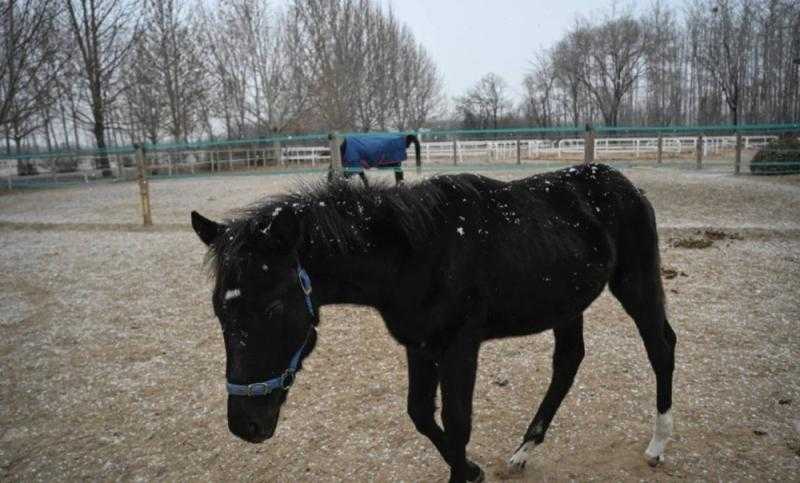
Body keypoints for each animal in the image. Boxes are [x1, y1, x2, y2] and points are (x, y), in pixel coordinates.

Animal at [192, 164, 676, 482]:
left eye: (273, 307)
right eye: (219, 310)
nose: (245, 426)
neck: (417, 254)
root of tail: (625, 183)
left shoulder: (460, 345)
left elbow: (457, 421)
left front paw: (466, 473)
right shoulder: (420, 345)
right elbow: (421, 413)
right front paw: (474, 470)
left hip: (635, 283)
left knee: (661, 345)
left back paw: (657, 445)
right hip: (566, 303)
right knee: (568, 362)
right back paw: (523, 451)